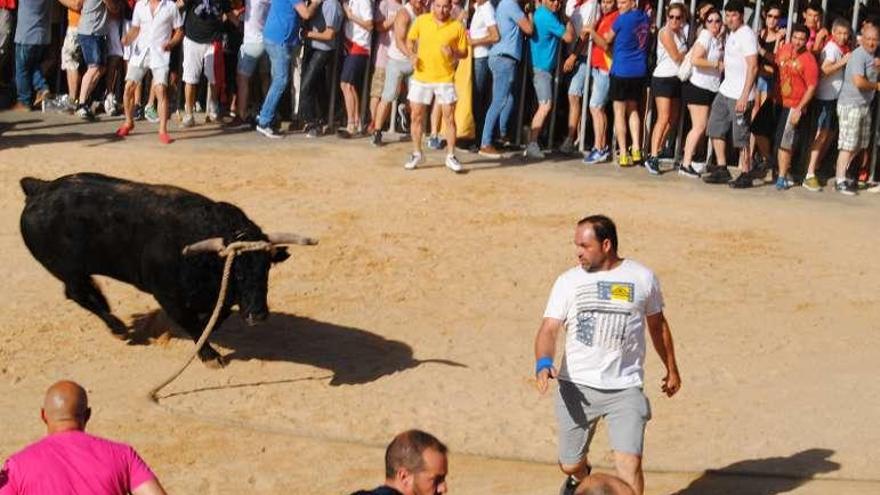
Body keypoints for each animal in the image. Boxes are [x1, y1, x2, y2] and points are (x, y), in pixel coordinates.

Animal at [19, 172, 320, 366]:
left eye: (266, 269)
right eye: (236, 272)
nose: (258, 315)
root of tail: (40, 189)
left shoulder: (215, 297)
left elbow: (216, 316)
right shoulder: (167, 295)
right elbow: (191, 323)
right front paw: (210, 356)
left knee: (85, 292)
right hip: (65, 269)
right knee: (77, 293)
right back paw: (118, 327)